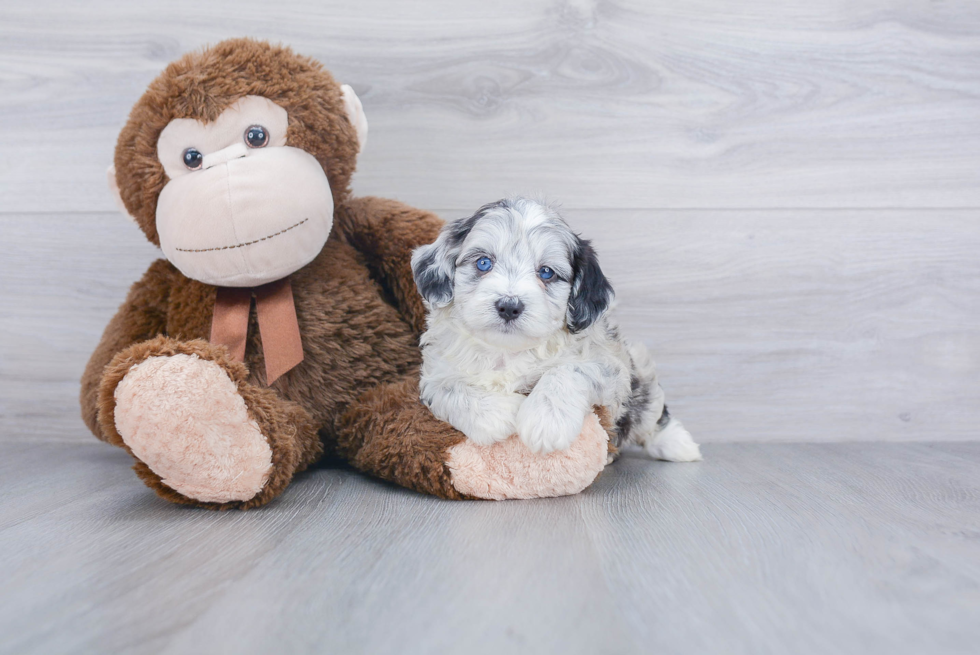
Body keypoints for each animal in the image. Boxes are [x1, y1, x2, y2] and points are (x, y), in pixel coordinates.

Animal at [410, 197, 700, 464]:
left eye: (546, 272)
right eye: (483, 263)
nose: (509, 306)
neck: (506, 351)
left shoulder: (610, 365)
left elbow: (567, 370)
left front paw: (545, 421)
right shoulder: (435, 371)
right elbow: (447, 388)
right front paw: (503, 413)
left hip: (639, 370)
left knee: (651, 415)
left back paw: (679, 446)